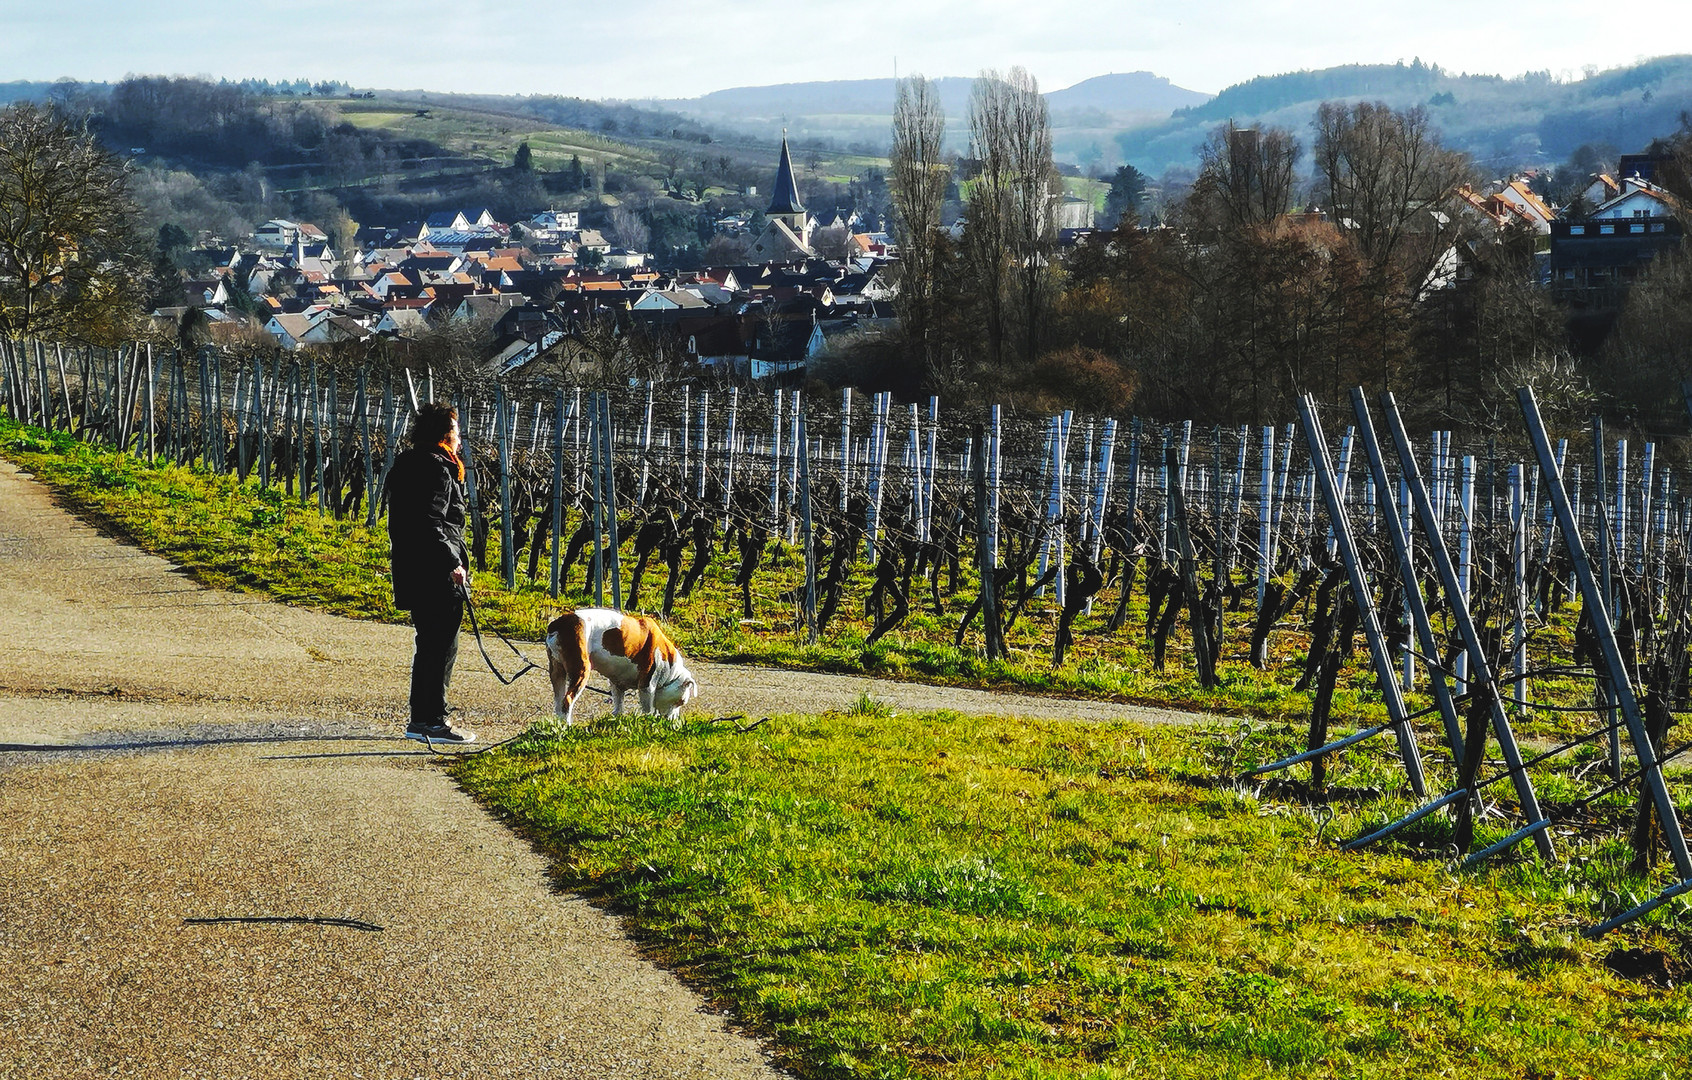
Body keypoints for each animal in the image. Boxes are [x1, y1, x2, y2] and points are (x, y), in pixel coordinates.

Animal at [544, 609, 697, 727]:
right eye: (681, 702)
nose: (674, 720)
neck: (671, 671)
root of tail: (560, 622)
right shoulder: (647, 686)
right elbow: (648, 709)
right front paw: (648, 722)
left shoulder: (617, 684)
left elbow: (618, 705)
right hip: (581, 671)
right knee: (567, 701)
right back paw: (568, 727)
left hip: (557, 672)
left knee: (559, 702)